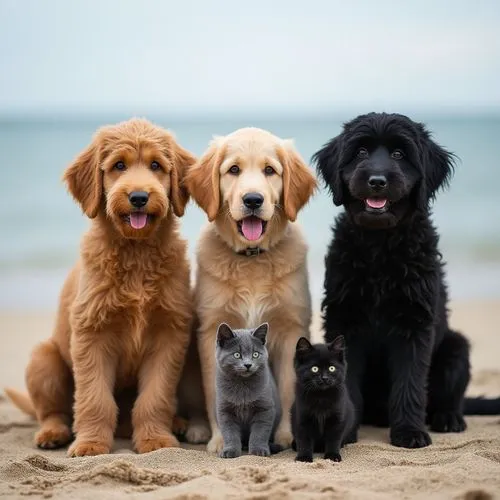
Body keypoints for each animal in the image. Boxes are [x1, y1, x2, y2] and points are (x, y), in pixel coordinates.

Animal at [6, 118, 197, 458]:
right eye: (119, 165)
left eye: (156, 165)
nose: (138, 196)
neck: (136, 254)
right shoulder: (92, 333)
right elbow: (94, 398)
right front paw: (91, 444)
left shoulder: (169, 334)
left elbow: (155, 395)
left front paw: (155, 440)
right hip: (44, 359)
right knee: (53, 411)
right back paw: (52, 433)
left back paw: (175, 423)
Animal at [216, 322, 282, 458]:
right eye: (237, 355)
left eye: (255, 354)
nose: (248, 365)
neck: (243, 386)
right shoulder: (225, 410)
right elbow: (229, 433)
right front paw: (230, 451)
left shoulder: (264, 409)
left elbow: (260, 432)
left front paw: (258, 450)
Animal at [292, 334, 354, 462]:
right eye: (314, 369)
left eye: (332, 368)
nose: (325, 378)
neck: (321, 396)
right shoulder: (302, 418)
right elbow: (304, 440)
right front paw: (304, 458)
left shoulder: (337, 419)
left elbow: (333, 440)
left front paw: (332, 456)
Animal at [312, 113, 500, 450]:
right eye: (360, 152)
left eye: (400, 154)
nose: (377, 180)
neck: (379, 248)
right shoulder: (344, 320)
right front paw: (344, 432)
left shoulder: (415, 325)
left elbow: (410, 382)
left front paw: (409, 432)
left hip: (456, 347)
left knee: (448, 397)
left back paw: (448, 419)